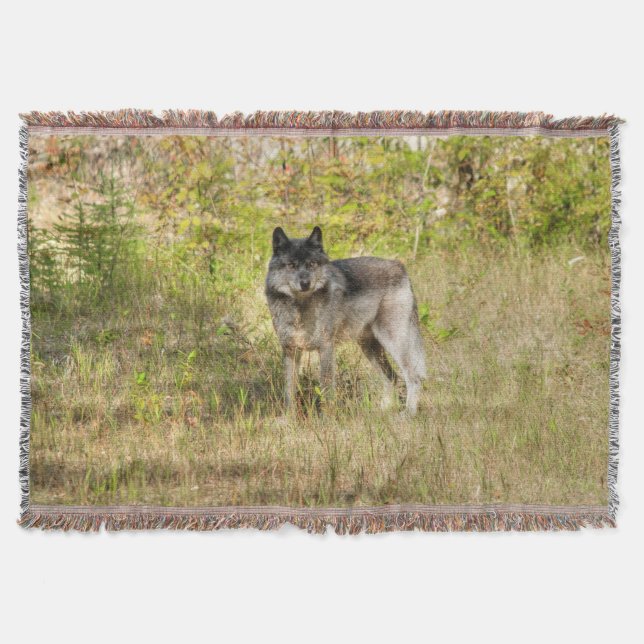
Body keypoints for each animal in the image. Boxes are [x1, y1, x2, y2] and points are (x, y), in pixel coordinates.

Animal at [265, 226, 427, 415]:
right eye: (291, 265)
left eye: (312, 264)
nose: (305, 283)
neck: (300, 307)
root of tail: (400, 266)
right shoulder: (291, 351)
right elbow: (289, 391)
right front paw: (289, 418)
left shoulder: (326, 348)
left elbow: (327, 390)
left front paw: (327, 419)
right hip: (369, 348)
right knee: (391, 377)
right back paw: (382, 412)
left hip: (393, 342)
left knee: (413, 377)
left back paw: (408, 414)